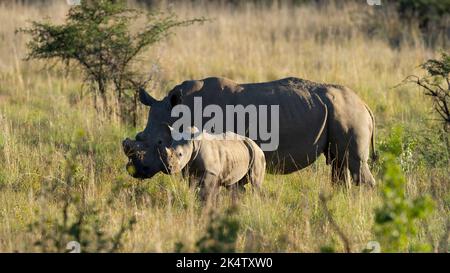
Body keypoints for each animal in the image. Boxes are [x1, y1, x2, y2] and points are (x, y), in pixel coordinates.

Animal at [122, 76, 376, 185]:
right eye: (139, 137)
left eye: (158, 144)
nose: (136, 170)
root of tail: (364, 104)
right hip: (338, 112)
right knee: (338, 164)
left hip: (348, 112)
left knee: (354, 162)